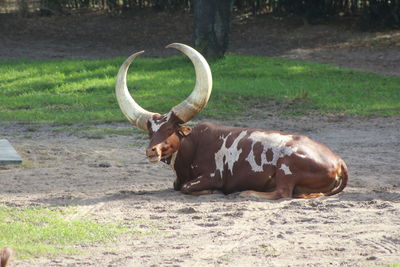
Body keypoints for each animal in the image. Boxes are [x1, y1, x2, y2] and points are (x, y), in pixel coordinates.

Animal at [115, 43, 346, 200]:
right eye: (150, 132)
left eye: (171, 128)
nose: (151, 150)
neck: (192, 145)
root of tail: (338, 160)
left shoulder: (212, 176)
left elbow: (187, 187)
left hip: (287, 167)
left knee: (283, 192)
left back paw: (248, 193)